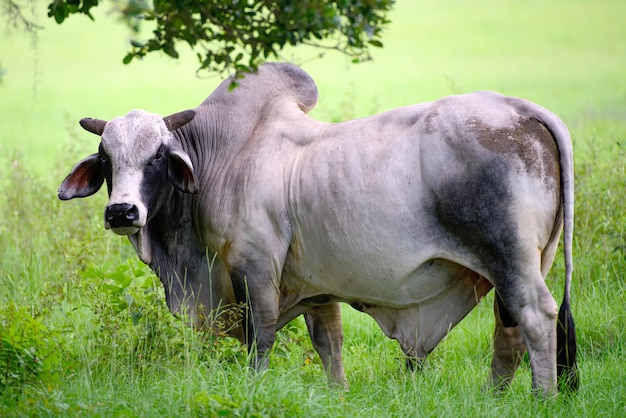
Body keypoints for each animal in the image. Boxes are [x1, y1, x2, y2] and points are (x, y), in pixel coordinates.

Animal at [58, 62, 576, 396]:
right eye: (106, 158)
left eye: (158, 157)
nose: (122, 212)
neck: (222, 159)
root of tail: (522, 109)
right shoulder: (317, 285)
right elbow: (329, 342)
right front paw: (337, 394)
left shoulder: (255, 271)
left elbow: (261, 340)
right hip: (522, 262)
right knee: (509, 329)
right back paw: (494, 397)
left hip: (509, 258)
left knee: (536, 317)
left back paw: (542, 397)